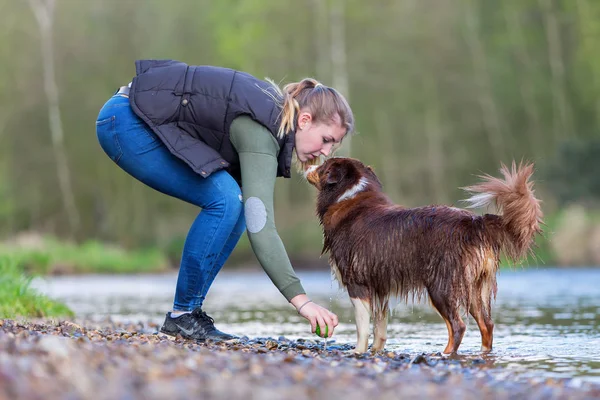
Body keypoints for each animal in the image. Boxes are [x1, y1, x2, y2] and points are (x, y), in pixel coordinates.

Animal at [304, 158, 544, 354]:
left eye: (324, 167)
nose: (307, 165)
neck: (349, 196)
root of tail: (475, 222)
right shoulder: (380, 285)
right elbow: (380, 327)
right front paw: (376, 352)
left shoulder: (357, 283)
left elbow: (362, 327)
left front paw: (358, 352)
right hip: (475, 287)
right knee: (487, 325)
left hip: (441, 286)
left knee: (458, 326)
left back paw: (444, 354)